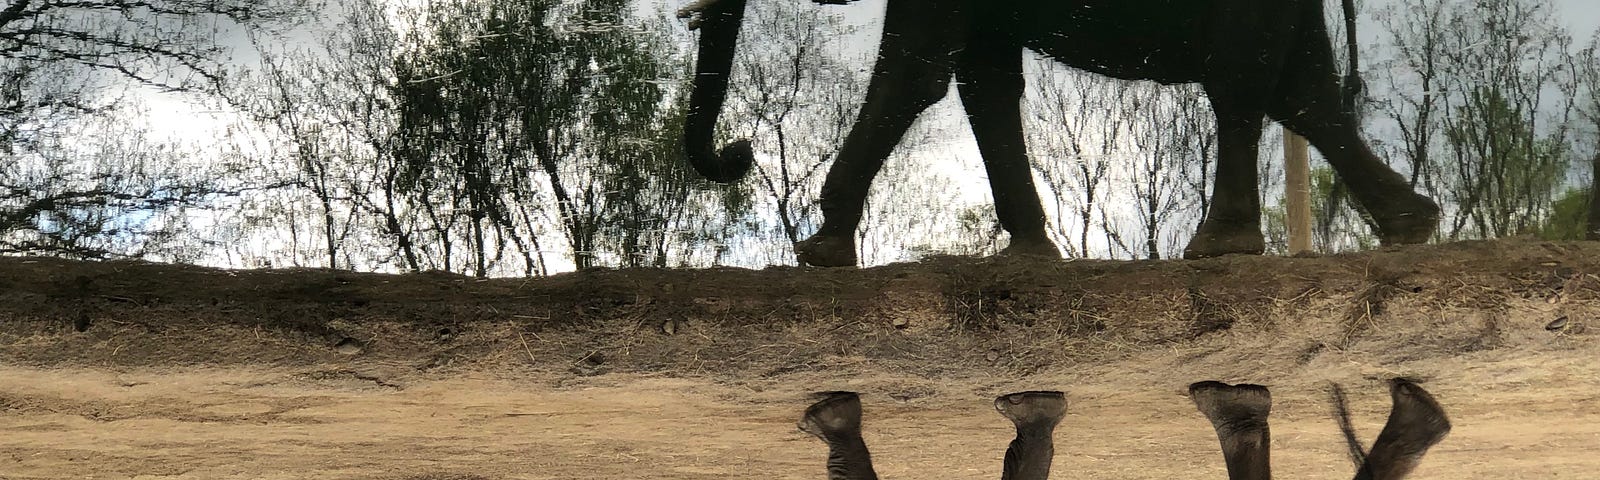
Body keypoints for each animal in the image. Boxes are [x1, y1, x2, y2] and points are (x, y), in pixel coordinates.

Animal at [681, 0, 1446, 265]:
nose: (738, 152)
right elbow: (984, 78)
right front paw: (1027, 253)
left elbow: (916, 67)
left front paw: (819, 252)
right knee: (1305, 93)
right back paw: (1413, 225)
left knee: (1241, 82)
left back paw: (1217, 248)